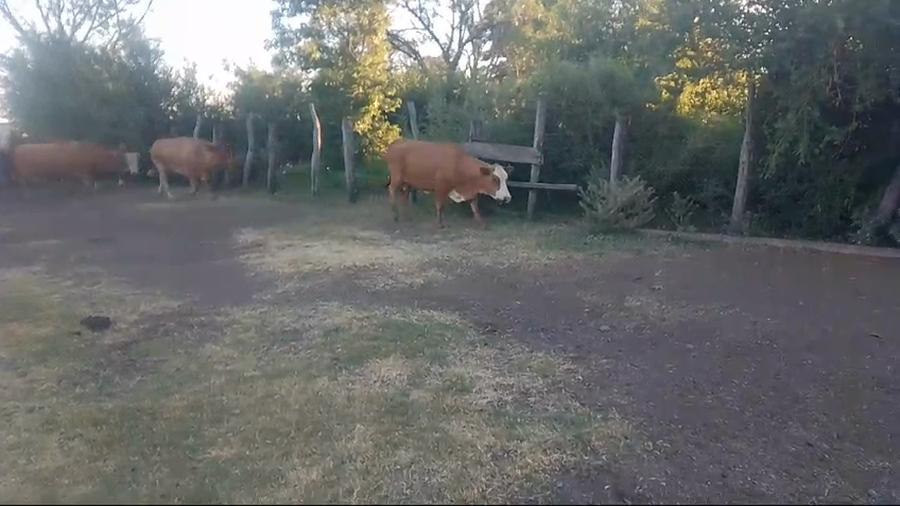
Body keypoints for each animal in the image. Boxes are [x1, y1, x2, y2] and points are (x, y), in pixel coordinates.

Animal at [2, 141, 139, 190]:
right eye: (121, 160)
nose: (129, 171)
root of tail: (18, 147)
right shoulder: (84, 172)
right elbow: (88, 183)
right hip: (22, 173)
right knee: (21, 183)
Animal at [383, 139, 514, 229]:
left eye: (506, 178)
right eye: (495, 179)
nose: (507, 197)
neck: (458, 163)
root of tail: (395, 144)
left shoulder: (470, 191)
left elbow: (475, 207)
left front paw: (482, 223)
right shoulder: (440, 186)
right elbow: (440, 205)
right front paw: (440, 223)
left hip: (407, 182)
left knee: (405, 196)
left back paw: (405, 216)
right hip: (397, 177)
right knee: (392, 189)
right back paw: (395, 214)